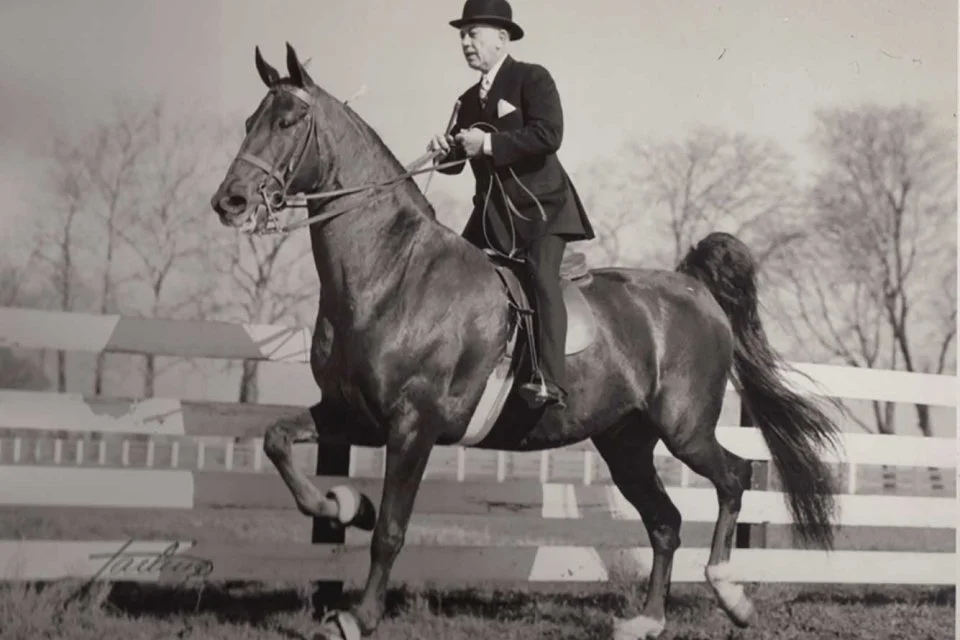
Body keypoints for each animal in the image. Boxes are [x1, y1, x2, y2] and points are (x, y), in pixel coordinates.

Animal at [209, 42, 842, 640]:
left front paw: (357, 617)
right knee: (665, 522)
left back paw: (731, 594)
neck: (391, 271)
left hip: (684, 429)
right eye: (248, 122)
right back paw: (647, 620)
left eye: (289, 122)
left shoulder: (413, 424)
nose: (229, 202)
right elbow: (278, 442)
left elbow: (390, 529)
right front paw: (345, 505)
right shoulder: (354, 413)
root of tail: (692, 287)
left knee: (734, 477)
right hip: (626, 442)